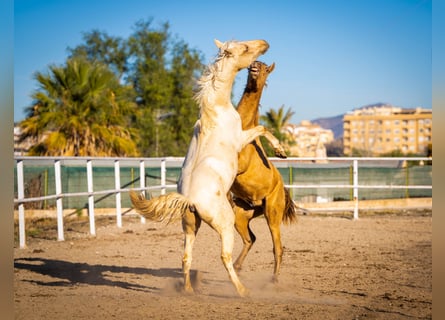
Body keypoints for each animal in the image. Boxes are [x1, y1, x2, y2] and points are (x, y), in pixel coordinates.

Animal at [130, 39, 286, 298]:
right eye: (245, 48)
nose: (265, 43)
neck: (216, 110)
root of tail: (190, 200)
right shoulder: (241, 139)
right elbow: (262, 129)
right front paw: (280, 150)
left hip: (190, 226)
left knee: (186, 257)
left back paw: (189, 289)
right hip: (227, 224)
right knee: (226, 256)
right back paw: (242, 290)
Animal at [231, 60, 300, 282]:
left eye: (263, 67)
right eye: (251, 65)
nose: (253, 68)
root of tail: (283, 189)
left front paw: (280, 150)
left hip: (272, 214)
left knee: (277, 247)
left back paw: (274, 279)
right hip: (242, 215)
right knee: (250, 238)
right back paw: (236, 267)